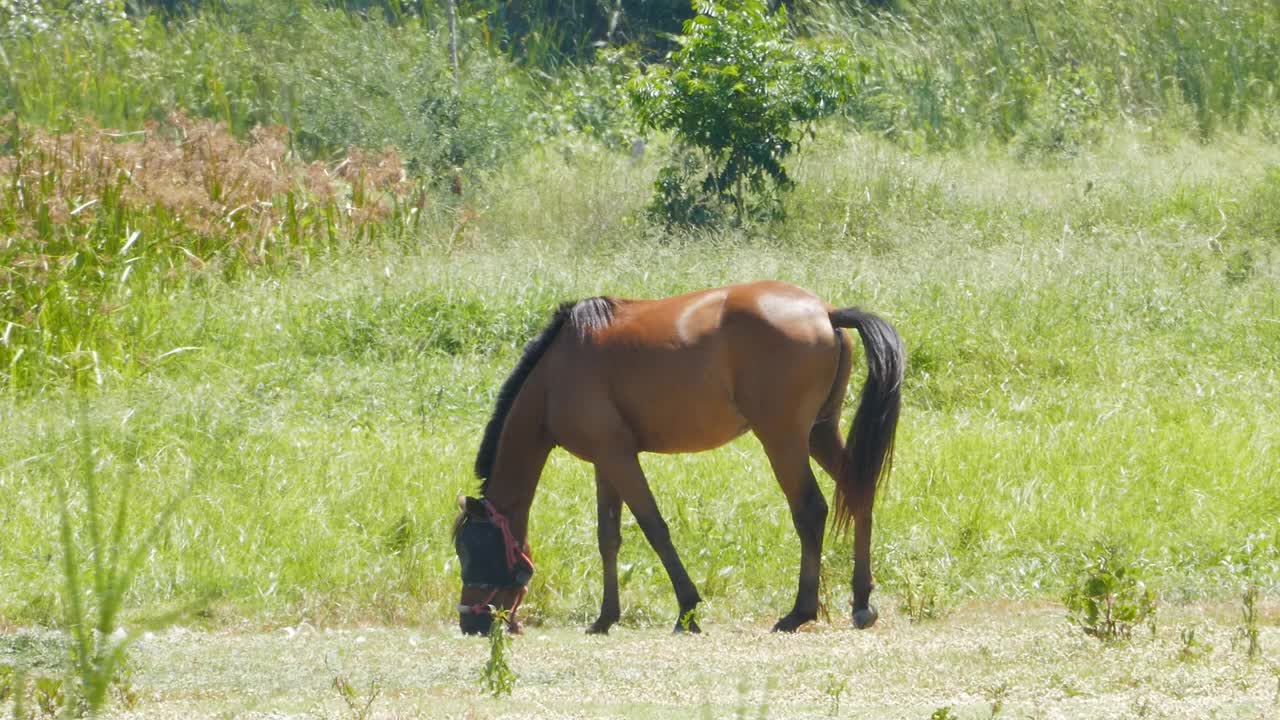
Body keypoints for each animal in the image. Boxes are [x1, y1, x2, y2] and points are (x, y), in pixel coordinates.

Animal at [455, 280, 906, 632]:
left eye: (474, 550)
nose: (469, 623)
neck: (556, 372)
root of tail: (826, 312)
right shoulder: (605, 462)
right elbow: (608, 537)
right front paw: (605, 617)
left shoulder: (620, 458)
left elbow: (654, 528)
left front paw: (687, 609)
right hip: (819, 433)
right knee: (859, 492)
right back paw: (861, 602)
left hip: (784, 441)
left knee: (810, 510)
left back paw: (800, 612)